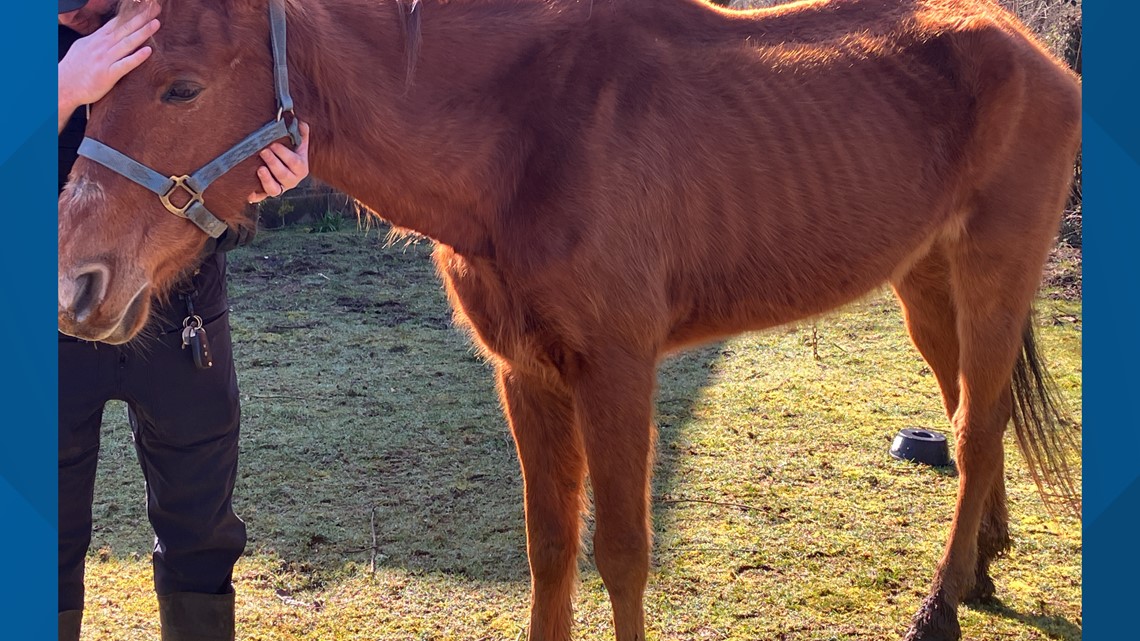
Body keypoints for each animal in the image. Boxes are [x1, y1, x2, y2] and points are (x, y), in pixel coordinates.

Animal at [57, 0, 1082, 639]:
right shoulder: (527, 373)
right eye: (97, 87)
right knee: (973, 415)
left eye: (182, 87)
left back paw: (940, 606)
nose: (75, 281)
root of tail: (1029, 48)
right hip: (928, 286)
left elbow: (622, 553)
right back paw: (980, 568)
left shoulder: (619, 369)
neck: (528, 133)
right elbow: (550, 546)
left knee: (976, 429)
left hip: (992, 273)